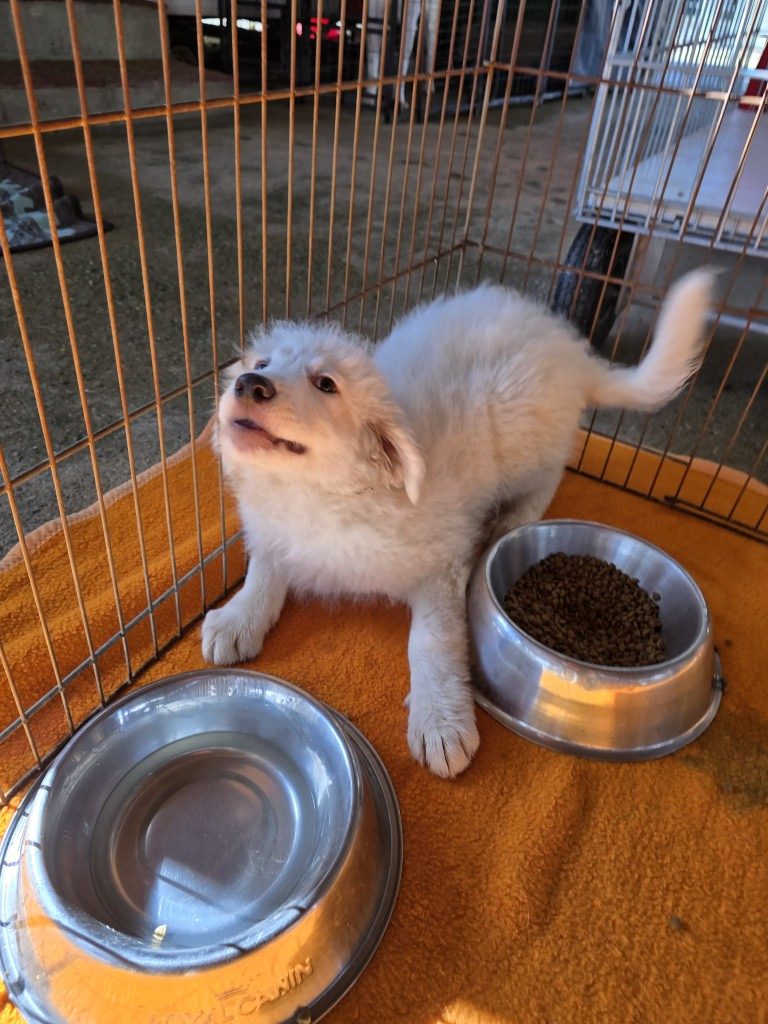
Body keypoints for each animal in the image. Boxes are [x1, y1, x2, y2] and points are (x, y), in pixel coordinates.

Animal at [202, 270, 712, 778]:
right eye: (262, 362)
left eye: (326, 384)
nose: (249, 383)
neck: (320, 497)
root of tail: (567, 347)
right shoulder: (273, 529)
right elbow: (265, 566)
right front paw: (239, 617)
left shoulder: (440, 563)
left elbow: (433, 639)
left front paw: (440, 720)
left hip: (525, 440)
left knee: (548, 477)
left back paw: (510, 522)